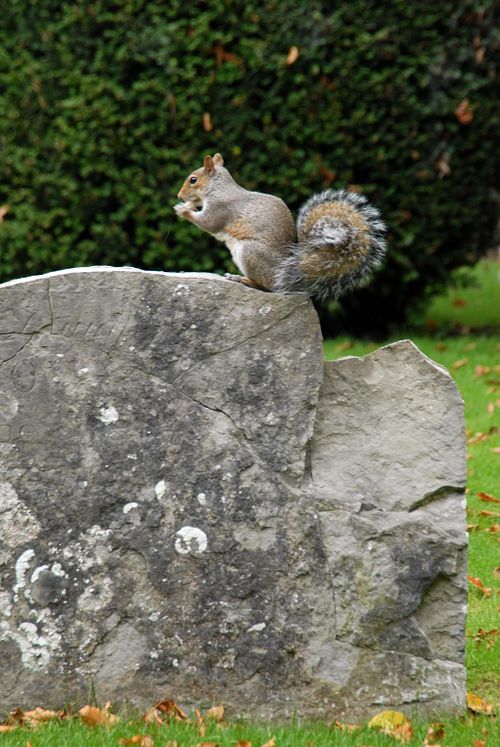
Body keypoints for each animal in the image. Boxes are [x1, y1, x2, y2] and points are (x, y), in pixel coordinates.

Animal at [174, 153, 387, 301]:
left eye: (193, 180)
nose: (179, 196)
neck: (217, 187)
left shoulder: (221, 208)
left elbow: (209, 223)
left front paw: (183, 210)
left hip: (250, 252)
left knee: (265, 286)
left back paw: (242, 279)